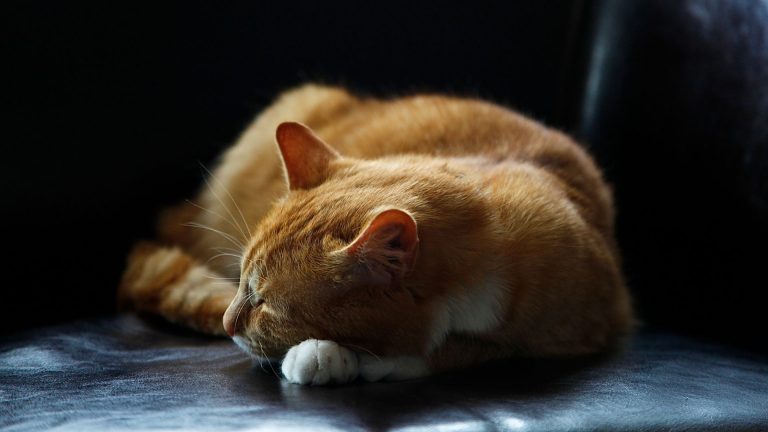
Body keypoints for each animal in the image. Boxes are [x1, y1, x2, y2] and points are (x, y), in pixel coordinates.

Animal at [117, 83, 632, 384]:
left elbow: (461, 350)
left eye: (266, 304)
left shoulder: (589, 326)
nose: (227, 324)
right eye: (241, 282)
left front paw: (346, 358)